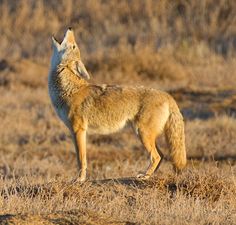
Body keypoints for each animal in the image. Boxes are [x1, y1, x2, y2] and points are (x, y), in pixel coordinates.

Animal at [48, 28, 187, 183]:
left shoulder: (79, 130)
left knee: (156, 156)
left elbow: (81, 159)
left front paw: (80, 179)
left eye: (73, 46)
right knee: (161, 156)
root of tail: (168, 96)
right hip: (144, 135)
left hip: (142, 133)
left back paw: (144, 176)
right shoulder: (76, 132)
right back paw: (148, 175)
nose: (71, 28)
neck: (68, 89)